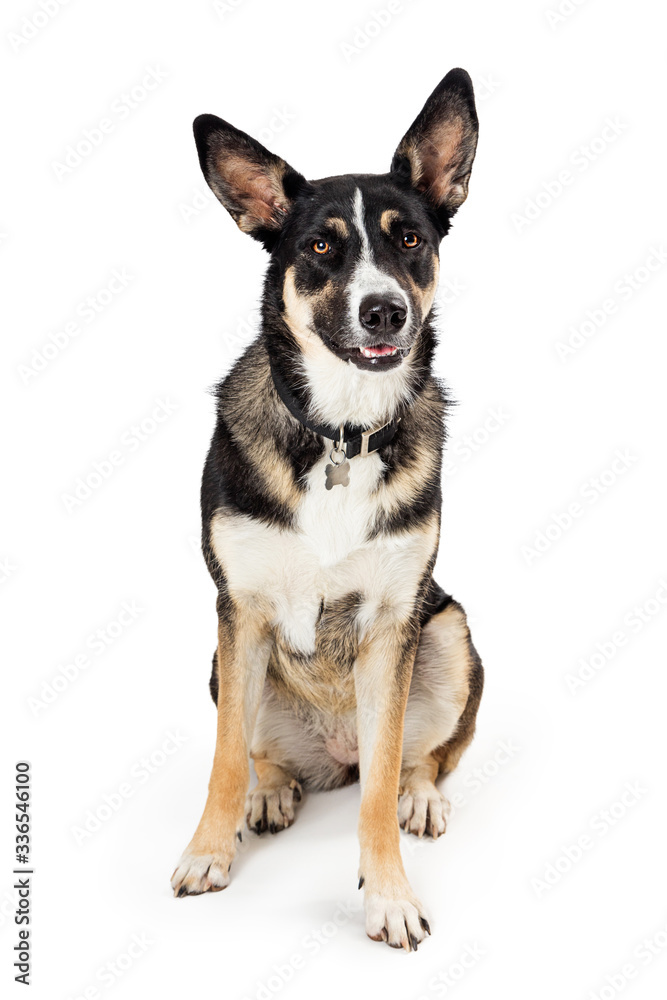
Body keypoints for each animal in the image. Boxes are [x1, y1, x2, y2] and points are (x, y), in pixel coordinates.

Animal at [171, 68, 486, 952]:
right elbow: (222, 759)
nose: (384, 311)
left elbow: (378, 788)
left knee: (417, 756)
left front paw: (387, 896)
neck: (340, 431)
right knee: (255, 748)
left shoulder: (392, 624)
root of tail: (331, 751)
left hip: (449, 634)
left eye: (408, 239)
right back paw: (272, 787)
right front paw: (208, 852)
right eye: (319, 247)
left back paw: (421, 793)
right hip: (222, 663)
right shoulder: (238, 611)